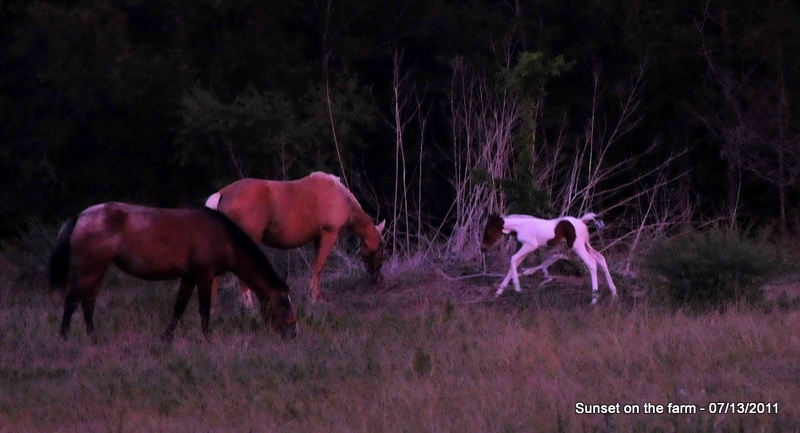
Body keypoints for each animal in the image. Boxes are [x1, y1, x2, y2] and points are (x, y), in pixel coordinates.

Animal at [50, 202, 300, 340]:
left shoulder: (189, 277)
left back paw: (93, 339)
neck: (223, 236)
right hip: (89, 270)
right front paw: (208, 339)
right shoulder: (204, 275)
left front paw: (166, 339)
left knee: (87, 304)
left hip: (96, 270)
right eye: (283, 303)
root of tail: (80, 217)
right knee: (72, 301)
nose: (293, 332)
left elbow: (178, 309)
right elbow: (204, 310)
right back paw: (63, 338)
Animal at [205, 170, 382, 302]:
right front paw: (314, 298)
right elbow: (319, 266)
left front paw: (315, 296)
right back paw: (249, 308)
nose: (377, 279)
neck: (340, 195)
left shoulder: (317, 239)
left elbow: (315, 265)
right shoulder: (329, 234)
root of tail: (223, 193)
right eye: (380, 247)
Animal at [482, 213, 620, 304]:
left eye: (488, 231)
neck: (521, 226)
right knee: (601, 259)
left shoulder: (530, 246)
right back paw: (614, 293)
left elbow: (513, 259)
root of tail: (582, 221)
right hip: (586, 244)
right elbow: (514, 264)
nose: (483, 249)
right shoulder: (528, 248)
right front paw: (498, 292)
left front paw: (517, 288)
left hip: (578, 246)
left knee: (591, 263)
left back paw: (594, 300)